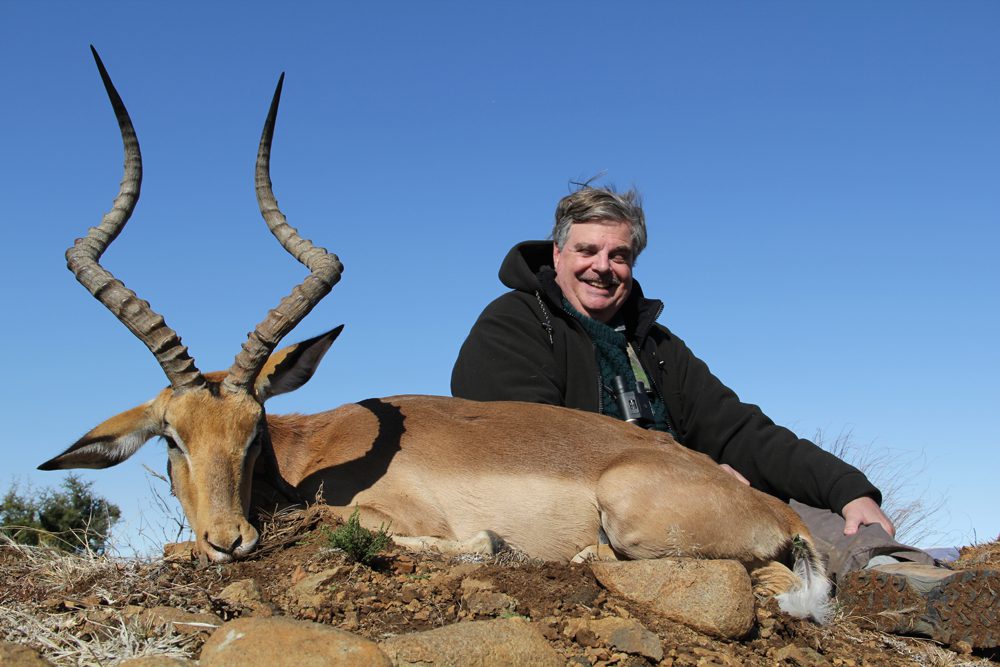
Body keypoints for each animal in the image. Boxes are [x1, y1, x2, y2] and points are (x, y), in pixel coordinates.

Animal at [41, 48, 831, 623]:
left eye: (254, 429)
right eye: (172, 439)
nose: (230, 540)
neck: (311, 454)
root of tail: (778, 511)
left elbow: (445, 538)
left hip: (635, 521)